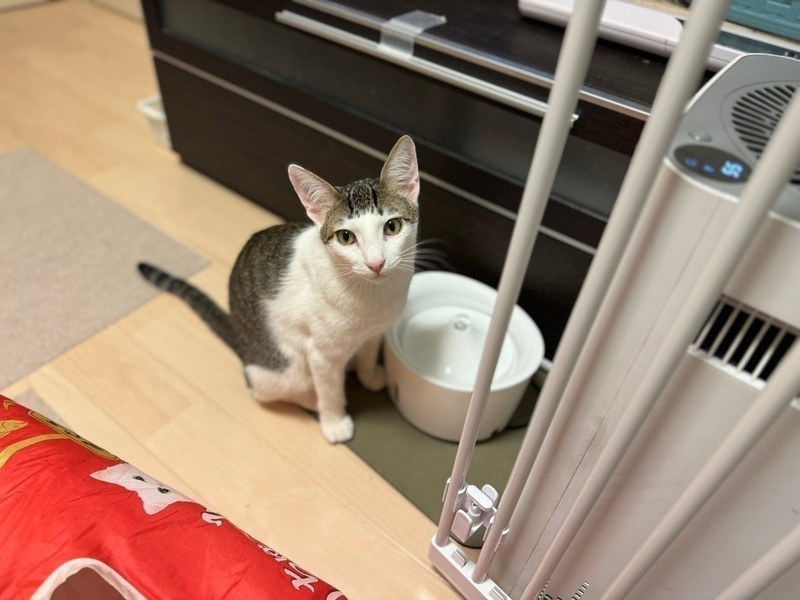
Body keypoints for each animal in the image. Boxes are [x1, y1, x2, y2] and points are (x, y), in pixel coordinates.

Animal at [138, 135, 420, 443]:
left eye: (392, 226)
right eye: (346, 237)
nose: (376, 263)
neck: (372, 296)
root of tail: (238, 339)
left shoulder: (375, 332)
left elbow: (368, 353)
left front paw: (370, 376)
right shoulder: (321, 354)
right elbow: (329, 390)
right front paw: (334, 421)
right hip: (280, 369)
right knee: (268, 390)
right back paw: (311, 401)